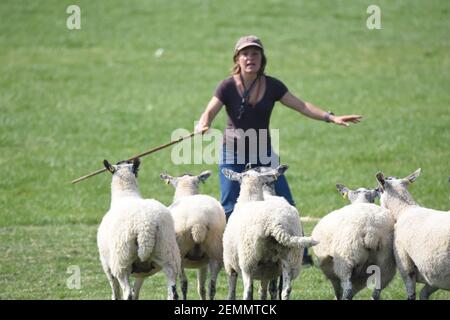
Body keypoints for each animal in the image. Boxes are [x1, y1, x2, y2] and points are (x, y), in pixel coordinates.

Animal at [97, 159, 181, 300]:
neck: (126, 194)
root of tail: (145, 227)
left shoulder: (107, 265)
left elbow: (116, 291)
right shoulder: (141, 271)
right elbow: (136, 290)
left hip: (122, 260)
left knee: (127, 292)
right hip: (168, 253)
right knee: (173, 291)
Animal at [160, 170, 227, 300]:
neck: (187, 192)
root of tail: (198, 223)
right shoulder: (203, 264)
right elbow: (201, 289)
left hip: (179, 254)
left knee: (182, 285)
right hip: (215, 251)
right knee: (211, 287)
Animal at [221, 165, 316, 300]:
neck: (250, 198)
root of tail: (274, 224)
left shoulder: (230, 265)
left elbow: (232, 291)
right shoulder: (266, 271)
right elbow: (264, 291)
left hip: (248, 261)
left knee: (248, 290)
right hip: (290, 259)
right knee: (286, 289)